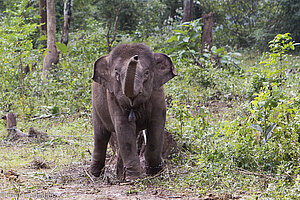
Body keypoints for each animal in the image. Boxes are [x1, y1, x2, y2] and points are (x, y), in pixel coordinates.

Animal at [90, 43, 177, 181]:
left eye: (147, 73)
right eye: (117, 74)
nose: (135, 57)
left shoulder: (157, 93)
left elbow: (156, 126)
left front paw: (155, 172)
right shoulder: (113, 98)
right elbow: (124, 129)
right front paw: (135, 178)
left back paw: (120, 176)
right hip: (95, 106)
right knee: (100, 136)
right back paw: (95, 175)